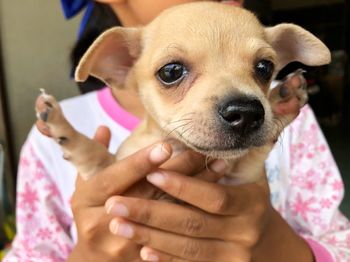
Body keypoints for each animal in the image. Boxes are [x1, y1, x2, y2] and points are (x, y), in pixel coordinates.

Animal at [35, 1, 330, 184]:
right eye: (171, 72)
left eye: (265, 67)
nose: (246, 112)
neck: (176, 147)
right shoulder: (109, 173)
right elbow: (93, 153)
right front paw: (63, 127)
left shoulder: (237, 181)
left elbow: (250, 158)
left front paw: (282, 100)